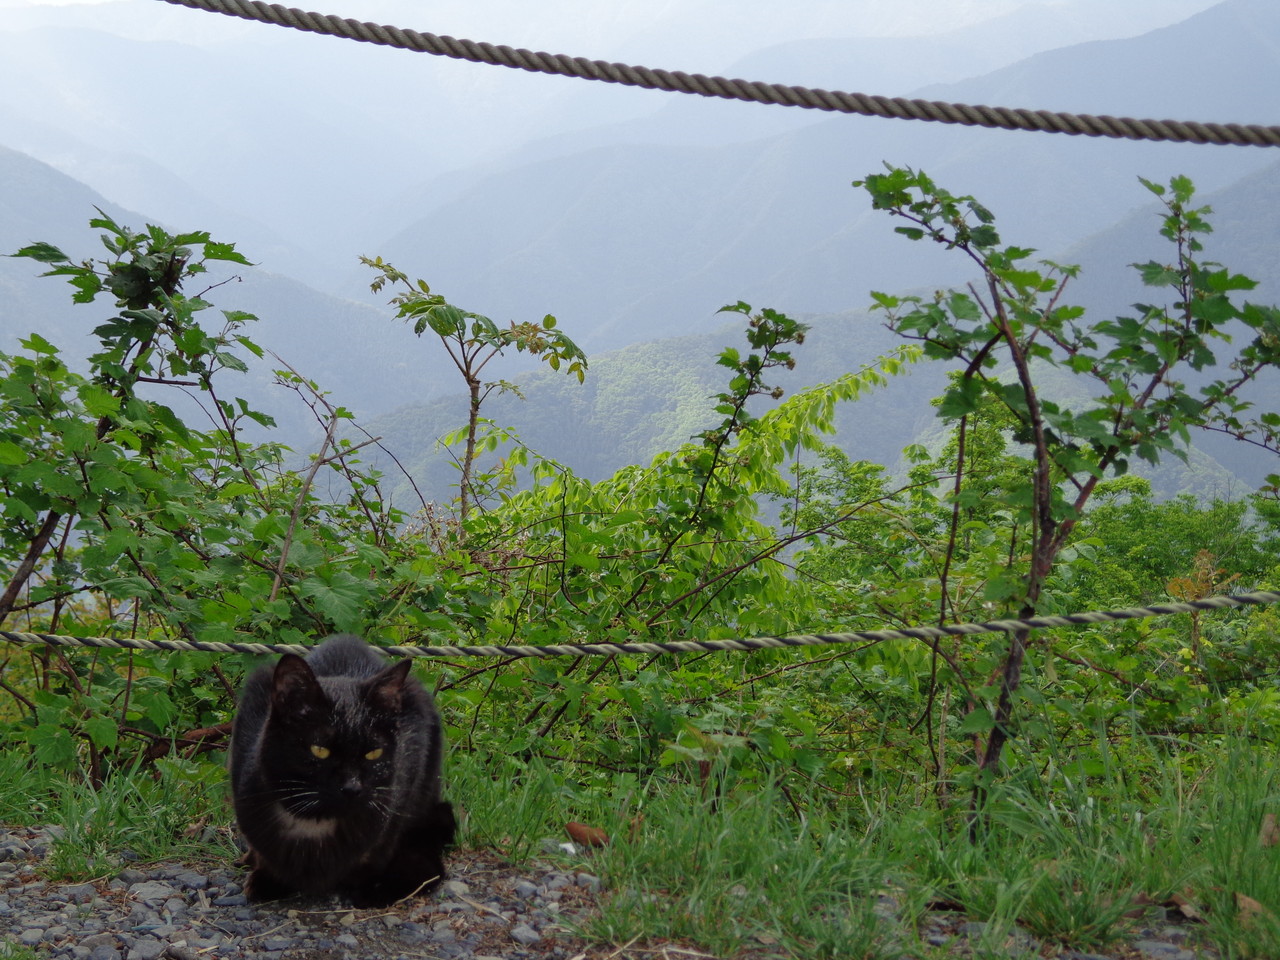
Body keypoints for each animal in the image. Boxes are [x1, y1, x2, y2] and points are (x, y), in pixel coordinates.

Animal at [229, 634, 455, 906]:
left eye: (373, 753)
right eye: (319, 750)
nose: (352, 787)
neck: (313, 825)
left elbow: (377, 850)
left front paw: (369, 885)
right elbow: (264, 854)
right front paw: (265, 877)